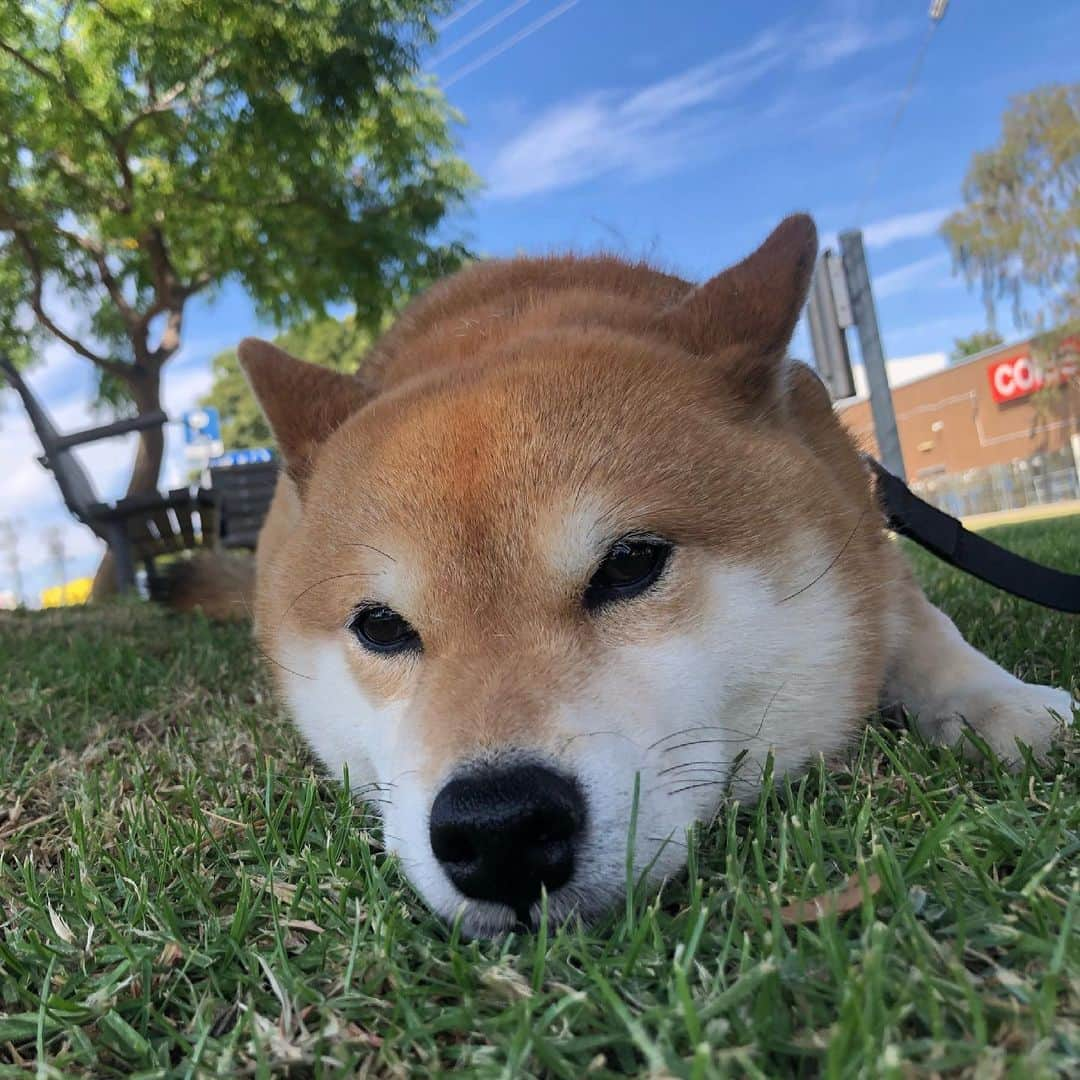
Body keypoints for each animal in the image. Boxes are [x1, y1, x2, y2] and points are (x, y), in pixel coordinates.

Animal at [234, 212, 1071, 937]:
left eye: (629, 564)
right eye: (380, 625)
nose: (500, 827)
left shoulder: (867, 530)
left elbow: (926, 624)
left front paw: (999, 699)